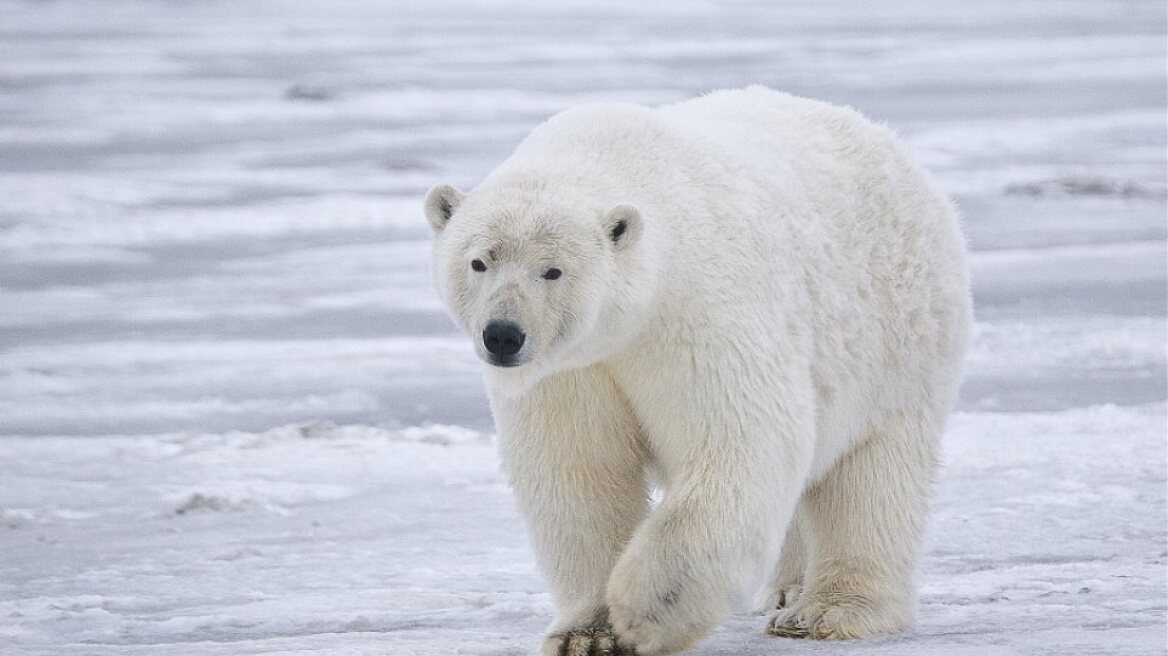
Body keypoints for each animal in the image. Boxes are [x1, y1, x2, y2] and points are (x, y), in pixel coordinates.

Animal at [425, 86, 971, 653]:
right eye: (478, 261)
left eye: (552, 270)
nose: (503, 335)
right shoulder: (571, 371)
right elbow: (579, 472)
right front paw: (588, 634)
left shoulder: (699, 312)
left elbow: (738, 443)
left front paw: (644, 611)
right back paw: (785, 589)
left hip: (898, 338)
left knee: (871, 478)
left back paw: (827, 611)